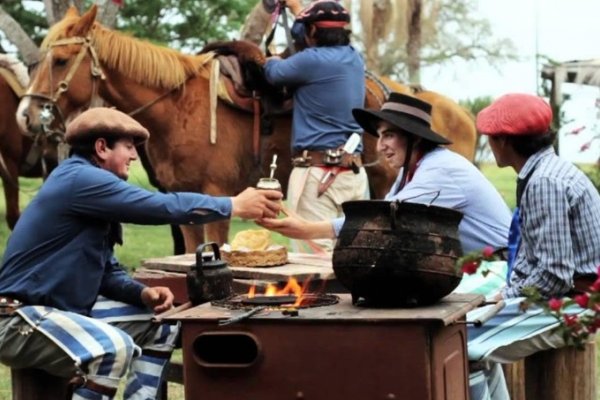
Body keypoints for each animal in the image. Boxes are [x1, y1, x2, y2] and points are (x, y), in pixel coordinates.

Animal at [17, 4, 474, 252]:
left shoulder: (218, 198)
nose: (27, 115)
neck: (178, 108)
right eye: (35, 60)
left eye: (61, 61)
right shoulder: (186, 204)